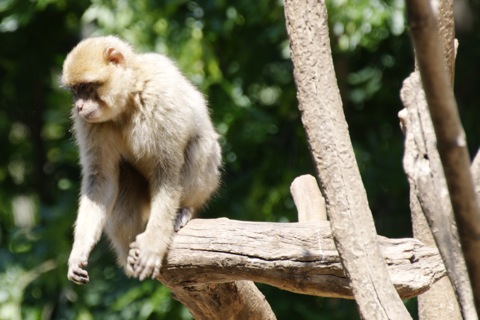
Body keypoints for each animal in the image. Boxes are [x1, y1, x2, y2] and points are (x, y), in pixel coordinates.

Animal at [60, 35, 223, 284]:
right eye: (75, 92)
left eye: (86, 87)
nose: (79, 106)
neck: (129, 99)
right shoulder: (89, 124)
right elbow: (101, 179)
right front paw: (79, 250)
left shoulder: (161, 103)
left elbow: (167, 172)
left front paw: (152, 246)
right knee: (124, 175)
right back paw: (127, 255)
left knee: (199, 146)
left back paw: (185, 210)